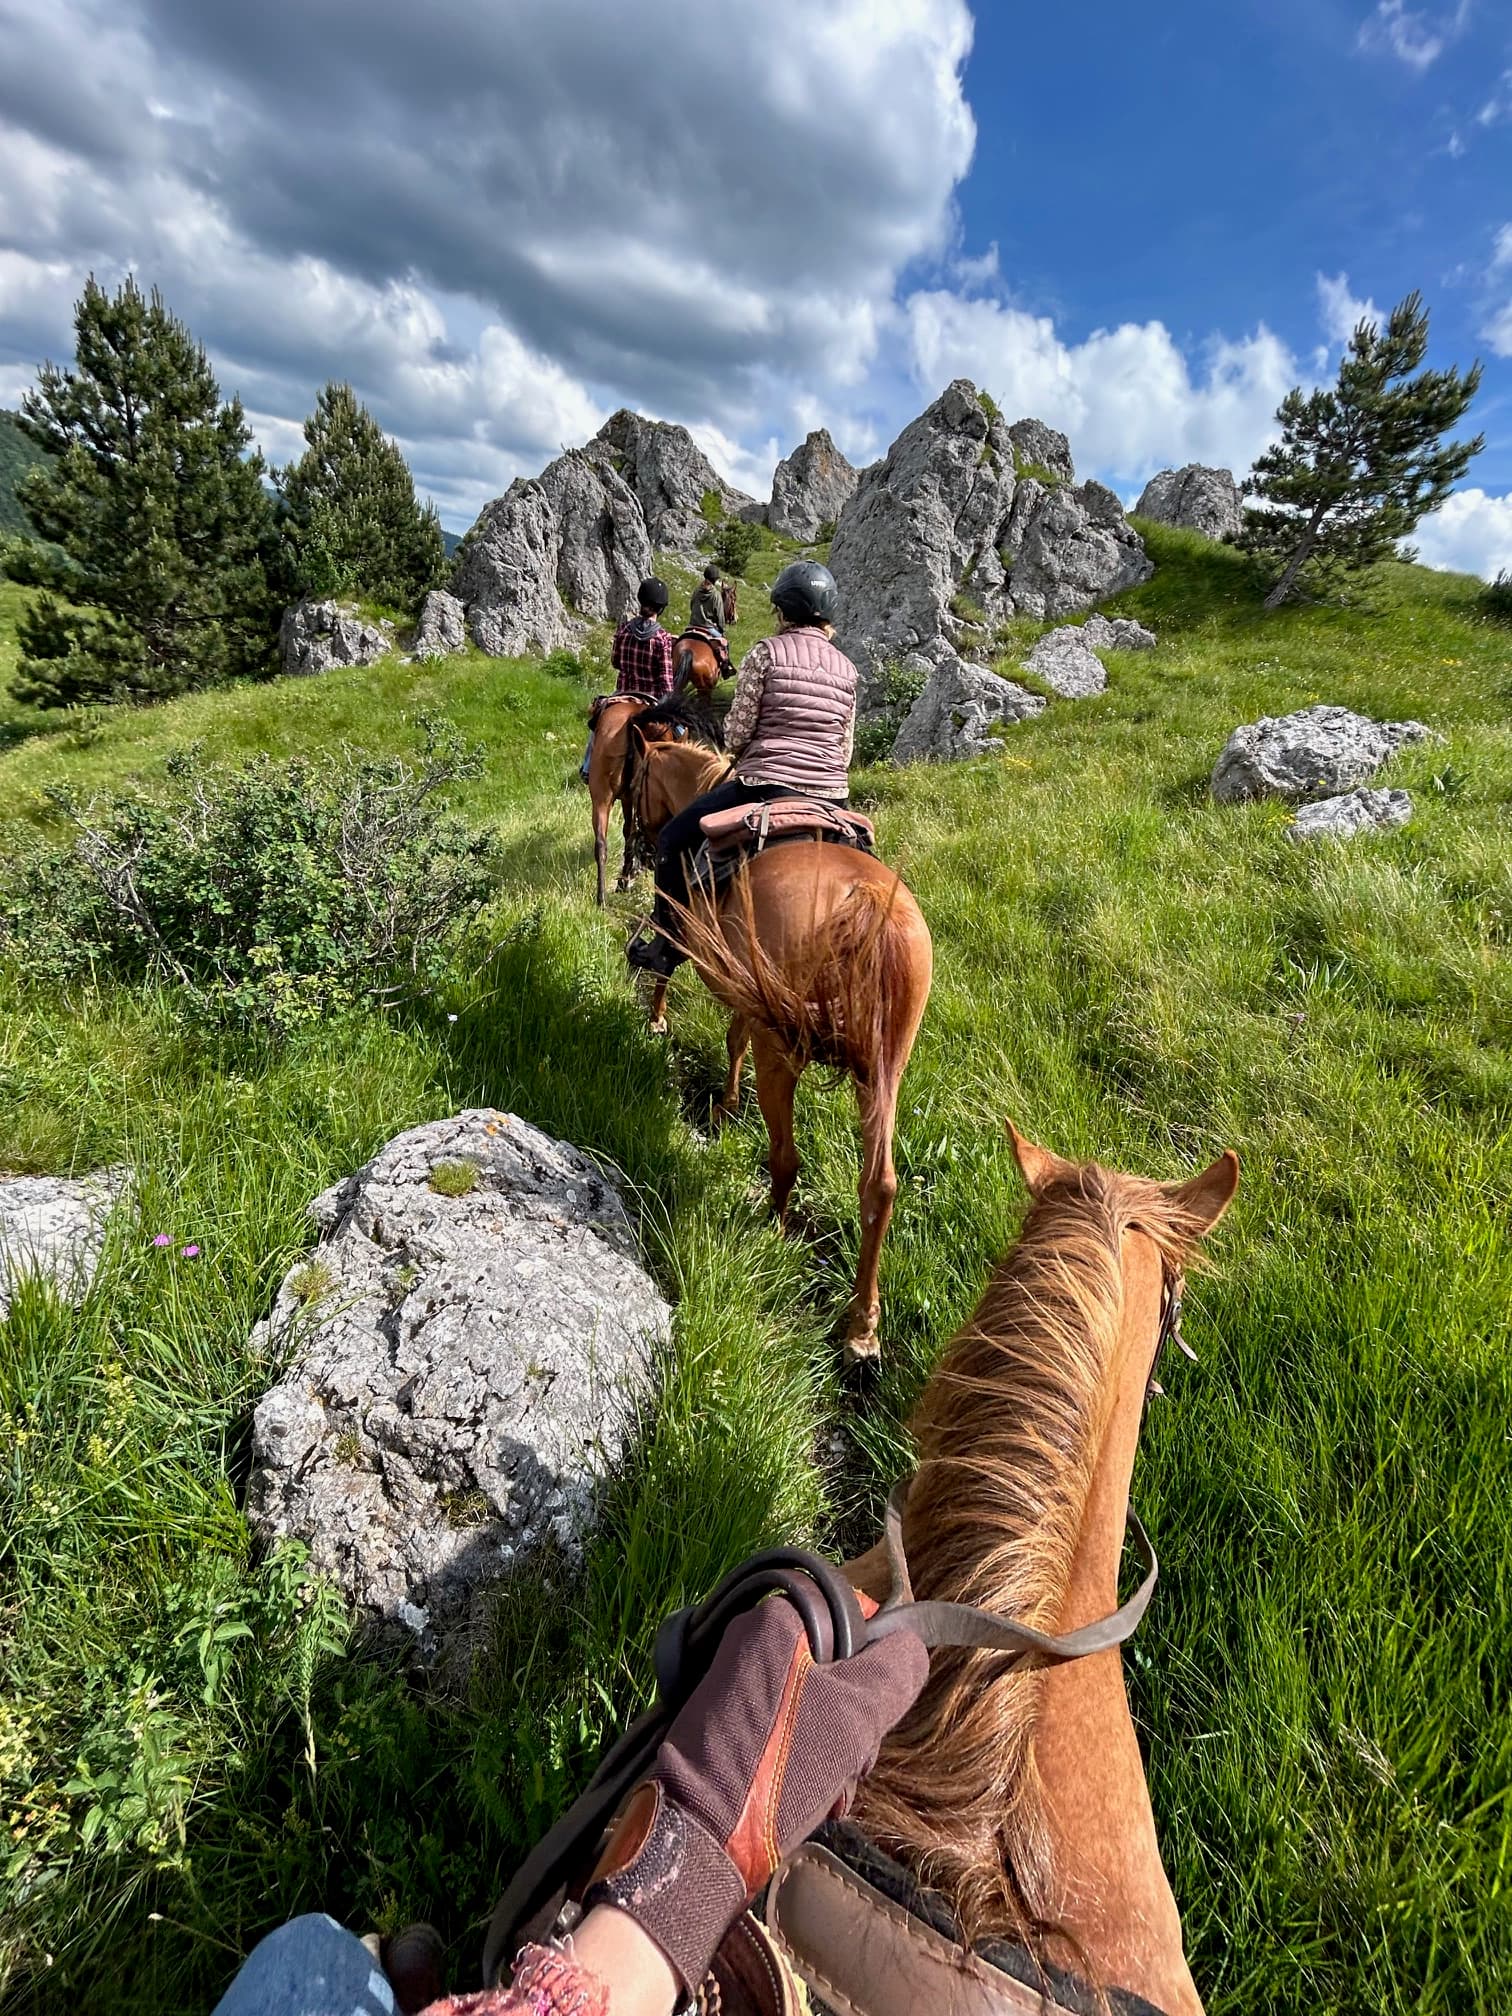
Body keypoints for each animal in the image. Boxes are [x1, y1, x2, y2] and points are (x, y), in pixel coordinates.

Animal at [629, 733, 933, 1361]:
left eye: (638, 780)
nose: (638, 842)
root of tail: (865, 898)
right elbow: (733, 1039)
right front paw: (724, 1104)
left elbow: (687, 994)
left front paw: (666, 1033)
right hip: (884, 1071)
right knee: (879, 1186)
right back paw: (862, 1328)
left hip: (785, 1050)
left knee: (786, 1156)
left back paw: (772, 1225)